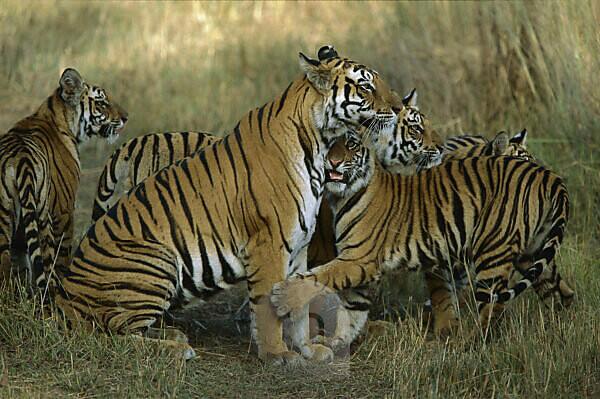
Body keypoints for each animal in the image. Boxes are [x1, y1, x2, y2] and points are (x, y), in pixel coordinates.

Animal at [0, 69, 127, 290]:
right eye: (102, 103)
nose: (126, 118)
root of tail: (21, 158)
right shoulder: (64, 208)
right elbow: (63, 256)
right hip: (42, 214)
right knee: (47, 260)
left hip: (4, 215)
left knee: (4, 262)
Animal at [270, 130, 572, 350]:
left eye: (351, 146)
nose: (332, 162)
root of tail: (551, 179)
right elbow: (352, 306)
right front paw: (336, 340)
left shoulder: (360, 259)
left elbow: (318, 277)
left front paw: (283, 296)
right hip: (531, 250)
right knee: (551, 288)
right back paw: (560, 325)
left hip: (494, 256)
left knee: (492, 307)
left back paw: (469, 344)